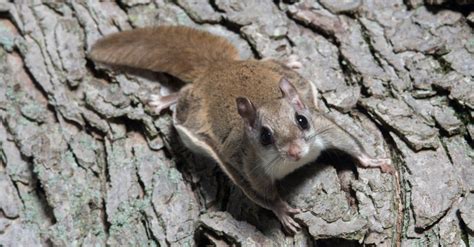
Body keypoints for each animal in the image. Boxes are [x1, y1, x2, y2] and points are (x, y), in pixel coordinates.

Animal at [89, 26, 392, 234]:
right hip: (192, 110)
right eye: (265, 136)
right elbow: (260, 194)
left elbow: (349, 141)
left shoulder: (324, 126)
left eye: (302, 120)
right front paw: (282, 210)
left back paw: (286, 60)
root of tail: (218, 68)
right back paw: (165, 100)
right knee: (183, 96)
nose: (296, 152)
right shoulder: (247, 165)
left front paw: (373, 161)